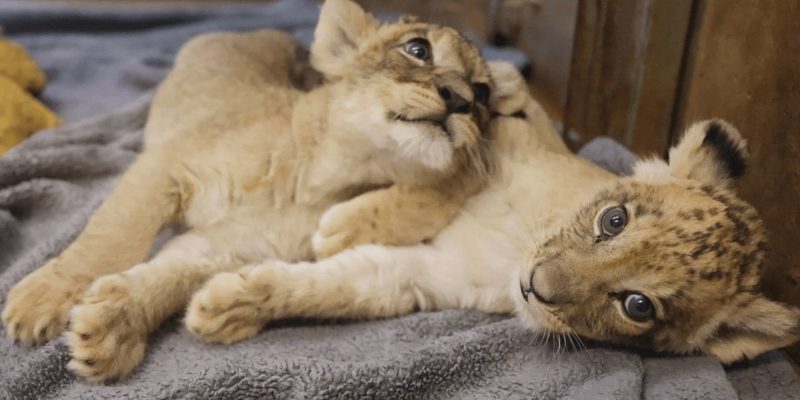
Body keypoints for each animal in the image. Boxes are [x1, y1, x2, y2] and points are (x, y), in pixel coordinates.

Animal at [2, 0, 496, 382]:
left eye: (484, 93)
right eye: (418, 49)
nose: (459, 99)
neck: (321, 179)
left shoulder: (230, 246)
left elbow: (168, 275)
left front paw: (111, 329)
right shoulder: (165, 168)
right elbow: (112, 239)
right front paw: (40, 302)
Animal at [184, 62, 800, 366]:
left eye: (638, 306)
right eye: (614, 221)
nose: (534, 285)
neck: (516, 245)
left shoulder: (425, 278)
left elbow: (333, 288)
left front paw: (225, 306)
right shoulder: (507, 137)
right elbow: (451, 157)